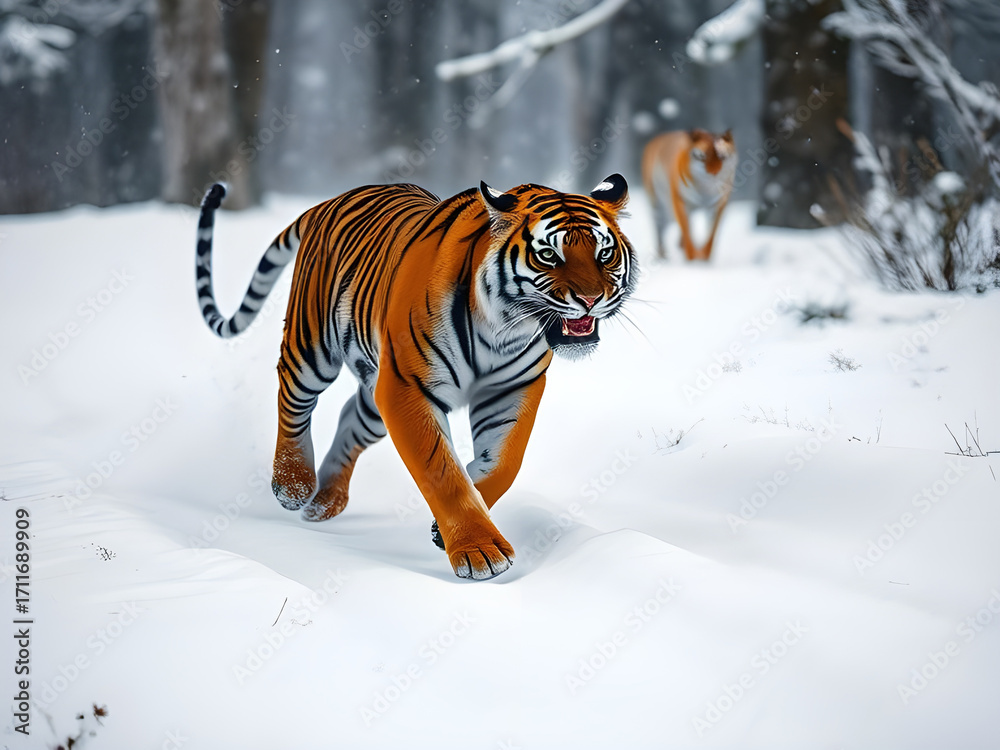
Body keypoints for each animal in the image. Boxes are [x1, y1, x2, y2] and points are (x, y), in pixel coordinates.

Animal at [194, 175, 636, 580]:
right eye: (548, 255)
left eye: (604, 253)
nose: (591, 299)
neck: (504, 328)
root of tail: (329, 201)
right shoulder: (408, 387)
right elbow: (442, 472)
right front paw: (480, 552)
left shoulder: (513, 388)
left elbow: (505, 462)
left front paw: (452, 523)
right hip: (312, 346)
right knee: (293, 397)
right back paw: (293, 486)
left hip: (374, 391)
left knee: (350, 418)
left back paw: (324, 503)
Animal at [641, 128, 737, 261]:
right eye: (702, 156)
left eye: (722, 156)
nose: (713, 172)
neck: (705, 192)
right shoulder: (681, 202)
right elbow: (688, 237)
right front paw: (692, 261)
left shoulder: (717, 206)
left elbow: (709, 239)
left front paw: (704, 260)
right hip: (660, 207)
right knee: (659, 230)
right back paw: (662, 256)